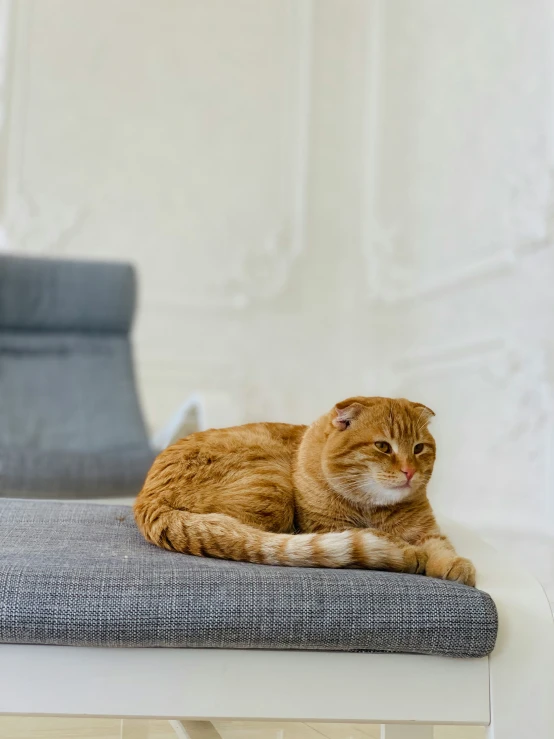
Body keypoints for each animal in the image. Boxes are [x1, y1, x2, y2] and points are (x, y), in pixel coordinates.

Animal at [134, 396, 474, 588]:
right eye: (382, 446)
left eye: (418, 448)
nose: (409, 471)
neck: (373, 508)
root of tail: (145, 500)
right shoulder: (328, 526)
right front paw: (411, 552)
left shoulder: (427, 531)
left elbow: (441, 547)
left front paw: (456, 567)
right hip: (272, 489)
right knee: (256, 537)